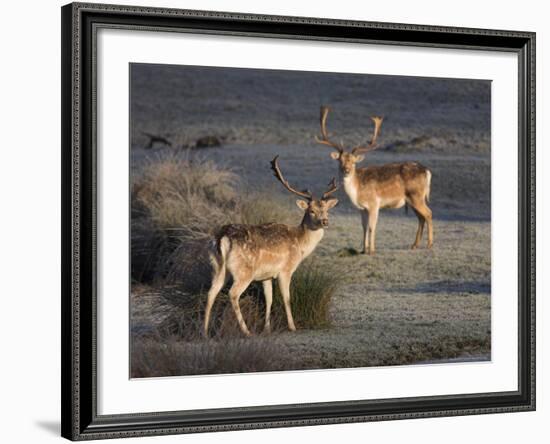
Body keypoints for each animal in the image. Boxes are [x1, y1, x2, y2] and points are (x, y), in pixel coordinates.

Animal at [204, 156, 340, 336]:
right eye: (311, 211)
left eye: (326, 210)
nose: (325, 221)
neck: (300, 245)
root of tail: (222, 238)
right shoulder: (285, 270)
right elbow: (286, 298)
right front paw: (292, 327)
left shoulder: (266, 275)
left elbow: (269, 299)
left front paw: (267, 328)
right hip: (244, 271)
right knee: (233, 294)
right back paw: (246, 331)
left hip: (217, 267)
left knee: (211, 292)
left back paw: (204, 332)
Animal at [320, 105, 436, 255]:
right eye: (340, 161)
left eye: (353, 162)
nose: (346, 170)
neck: (357, 192)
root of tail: (427, 171)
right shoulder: (362, 208)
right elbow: (363, 227)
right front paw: (363, 249)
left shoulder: (374, 204)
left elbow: (371, 227)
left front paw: (372, 250)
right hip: (412, 200)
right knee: (421, 217)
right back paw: (414, 245)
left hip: (416, 195)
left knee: (428, 213)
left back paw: (429, 244)